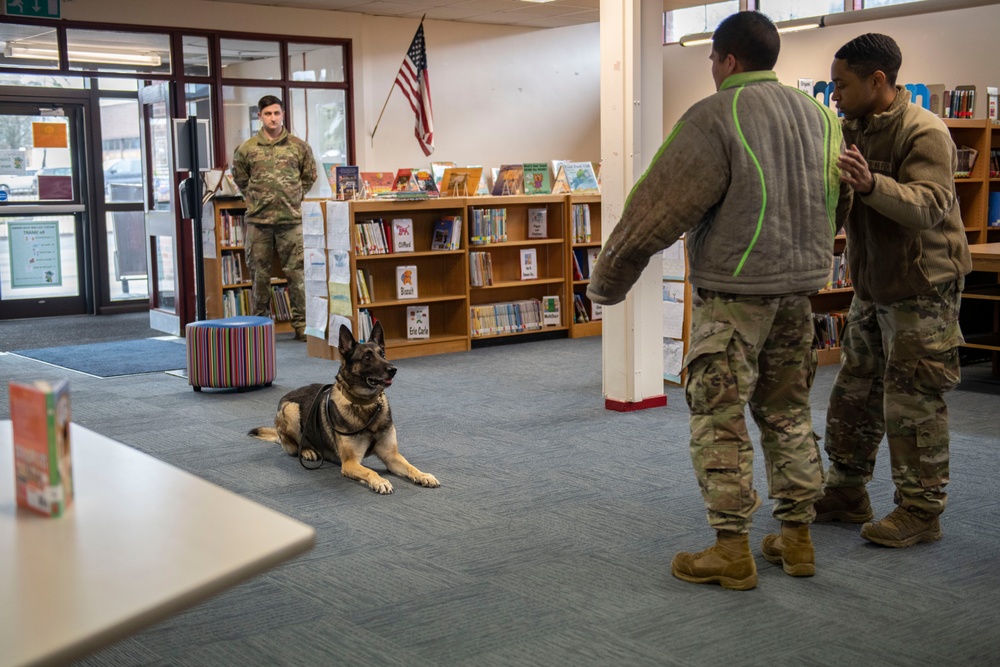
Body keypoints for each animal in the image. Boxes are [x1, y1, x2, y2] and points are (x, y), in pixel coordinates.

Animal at [248, 324, 440, 496]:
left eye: (383, 354)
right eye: (367, 357)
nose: (393, 369)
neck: (365, 405)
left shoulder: (391, 456)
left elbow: (410, 466)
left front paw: (423, 475)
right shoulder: (350, 463)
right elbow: (370, 471)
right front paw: (380, 481)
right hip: (292, 410)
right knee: (294, 447)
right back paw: (307, 450)